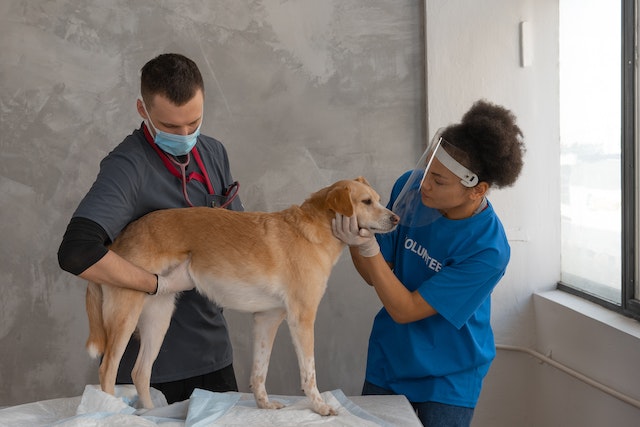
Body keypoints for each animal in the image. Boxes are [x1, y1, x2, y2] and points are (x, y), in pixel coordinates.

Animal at [84, 177, 396, 418]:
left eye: (379, 200)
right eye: (366, 202)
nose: (396, 218)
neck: (313, 230)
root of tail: (116, 242)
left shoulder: (267, 318)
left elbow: (259, 371)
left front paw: (264, 405)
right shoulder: (302, 317)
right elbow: (309, 373)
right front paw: (319, 407)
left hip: (158, 319)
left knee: (140, 372)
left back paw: (152, 414)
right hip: (125, 316)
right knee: (108, 371)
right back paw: (112, 414)